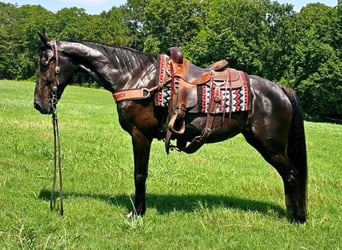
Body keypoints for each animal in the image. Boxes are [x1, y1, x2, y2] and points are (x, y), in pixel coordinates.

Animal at [34, 31, 308, 223]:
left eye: (44, 63)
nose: (38, 104)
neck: (135, 78)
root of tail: (280, 88)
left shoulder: (140, 135)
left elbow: (140, 174)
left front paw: (137, 213)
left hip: (270, 146)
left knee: (292, 175)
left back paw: (298, 218)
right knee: (288, 176)